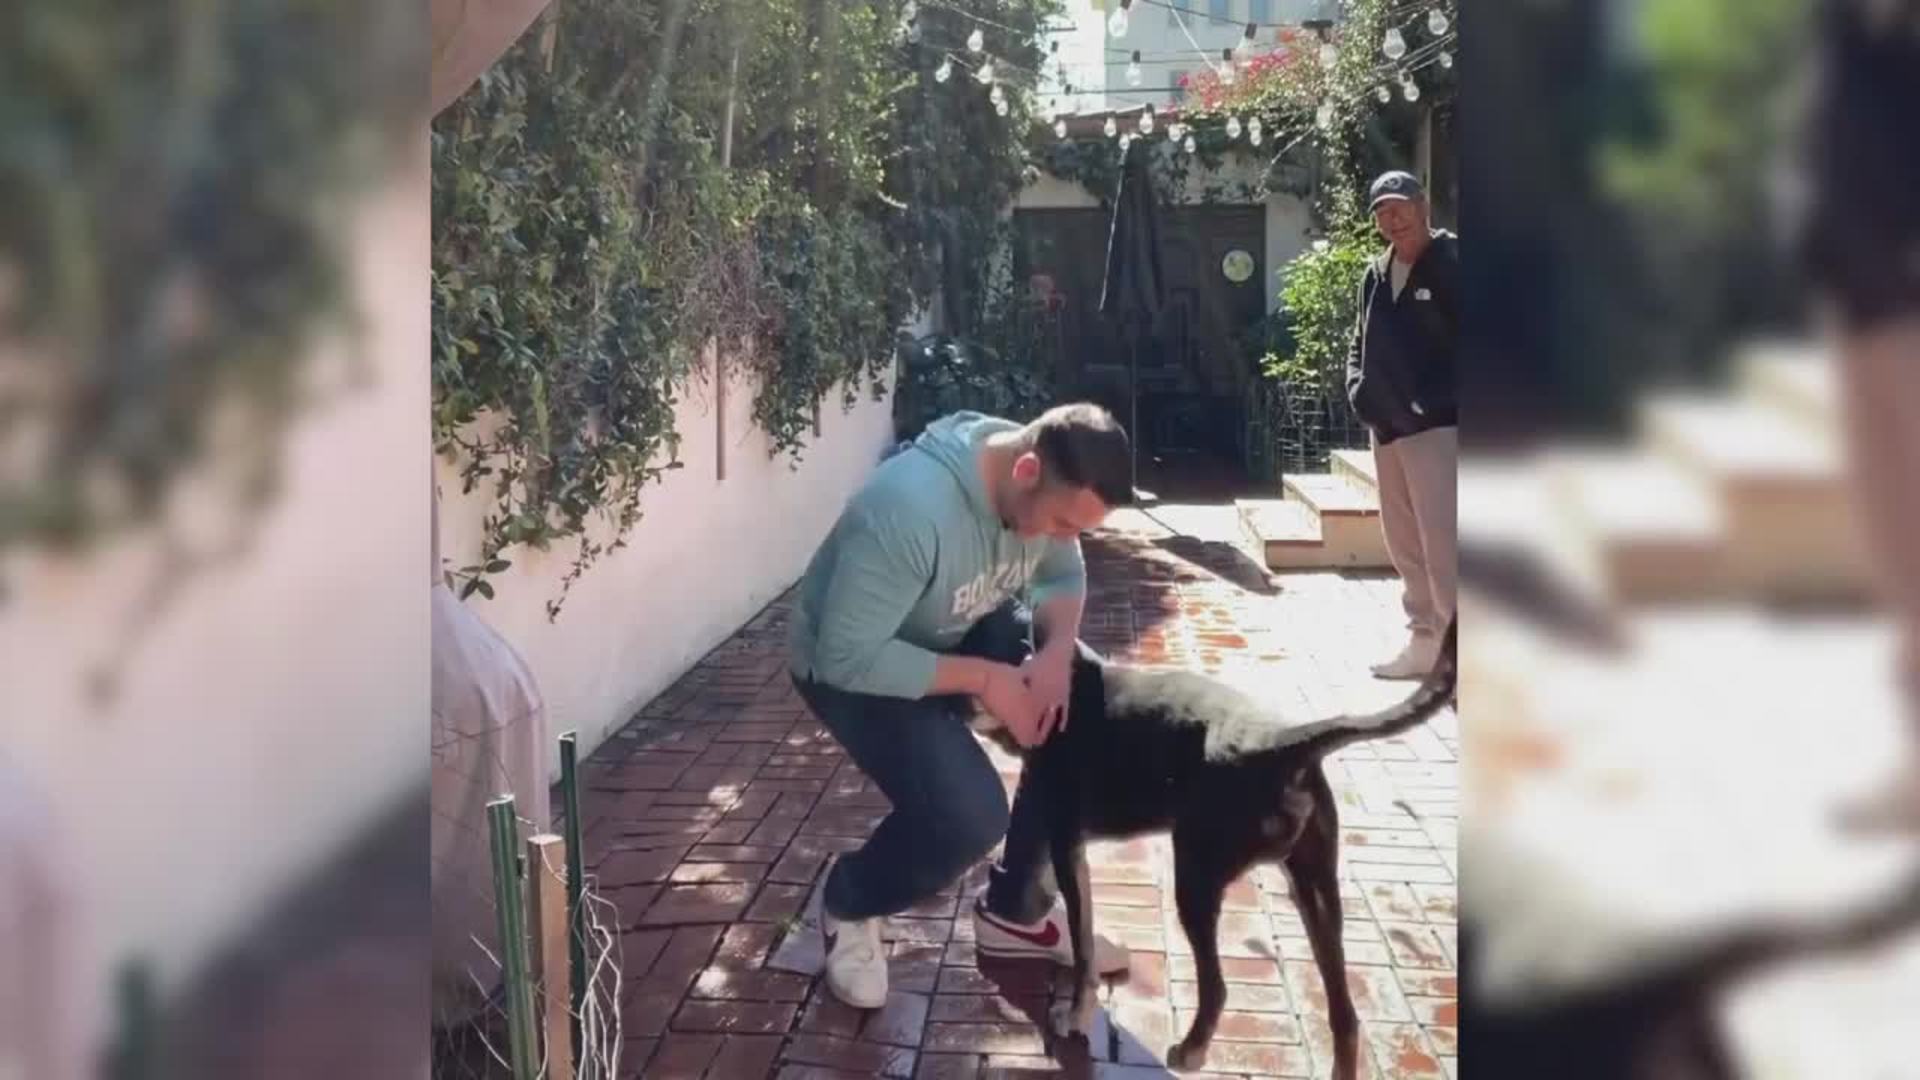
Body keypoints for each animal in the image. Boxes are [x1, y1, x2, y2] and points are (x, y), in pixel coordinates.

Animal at [969, 617, 1457, 1076]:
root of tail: (1284, 743)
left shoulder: (1067, 845)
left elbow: (1084, 945)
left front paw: (1074, 1016)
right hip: (1315, 894)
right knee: (1345, 1016)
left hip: (1196, 878)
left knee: (1218, 987)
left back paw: (1190, 1050)